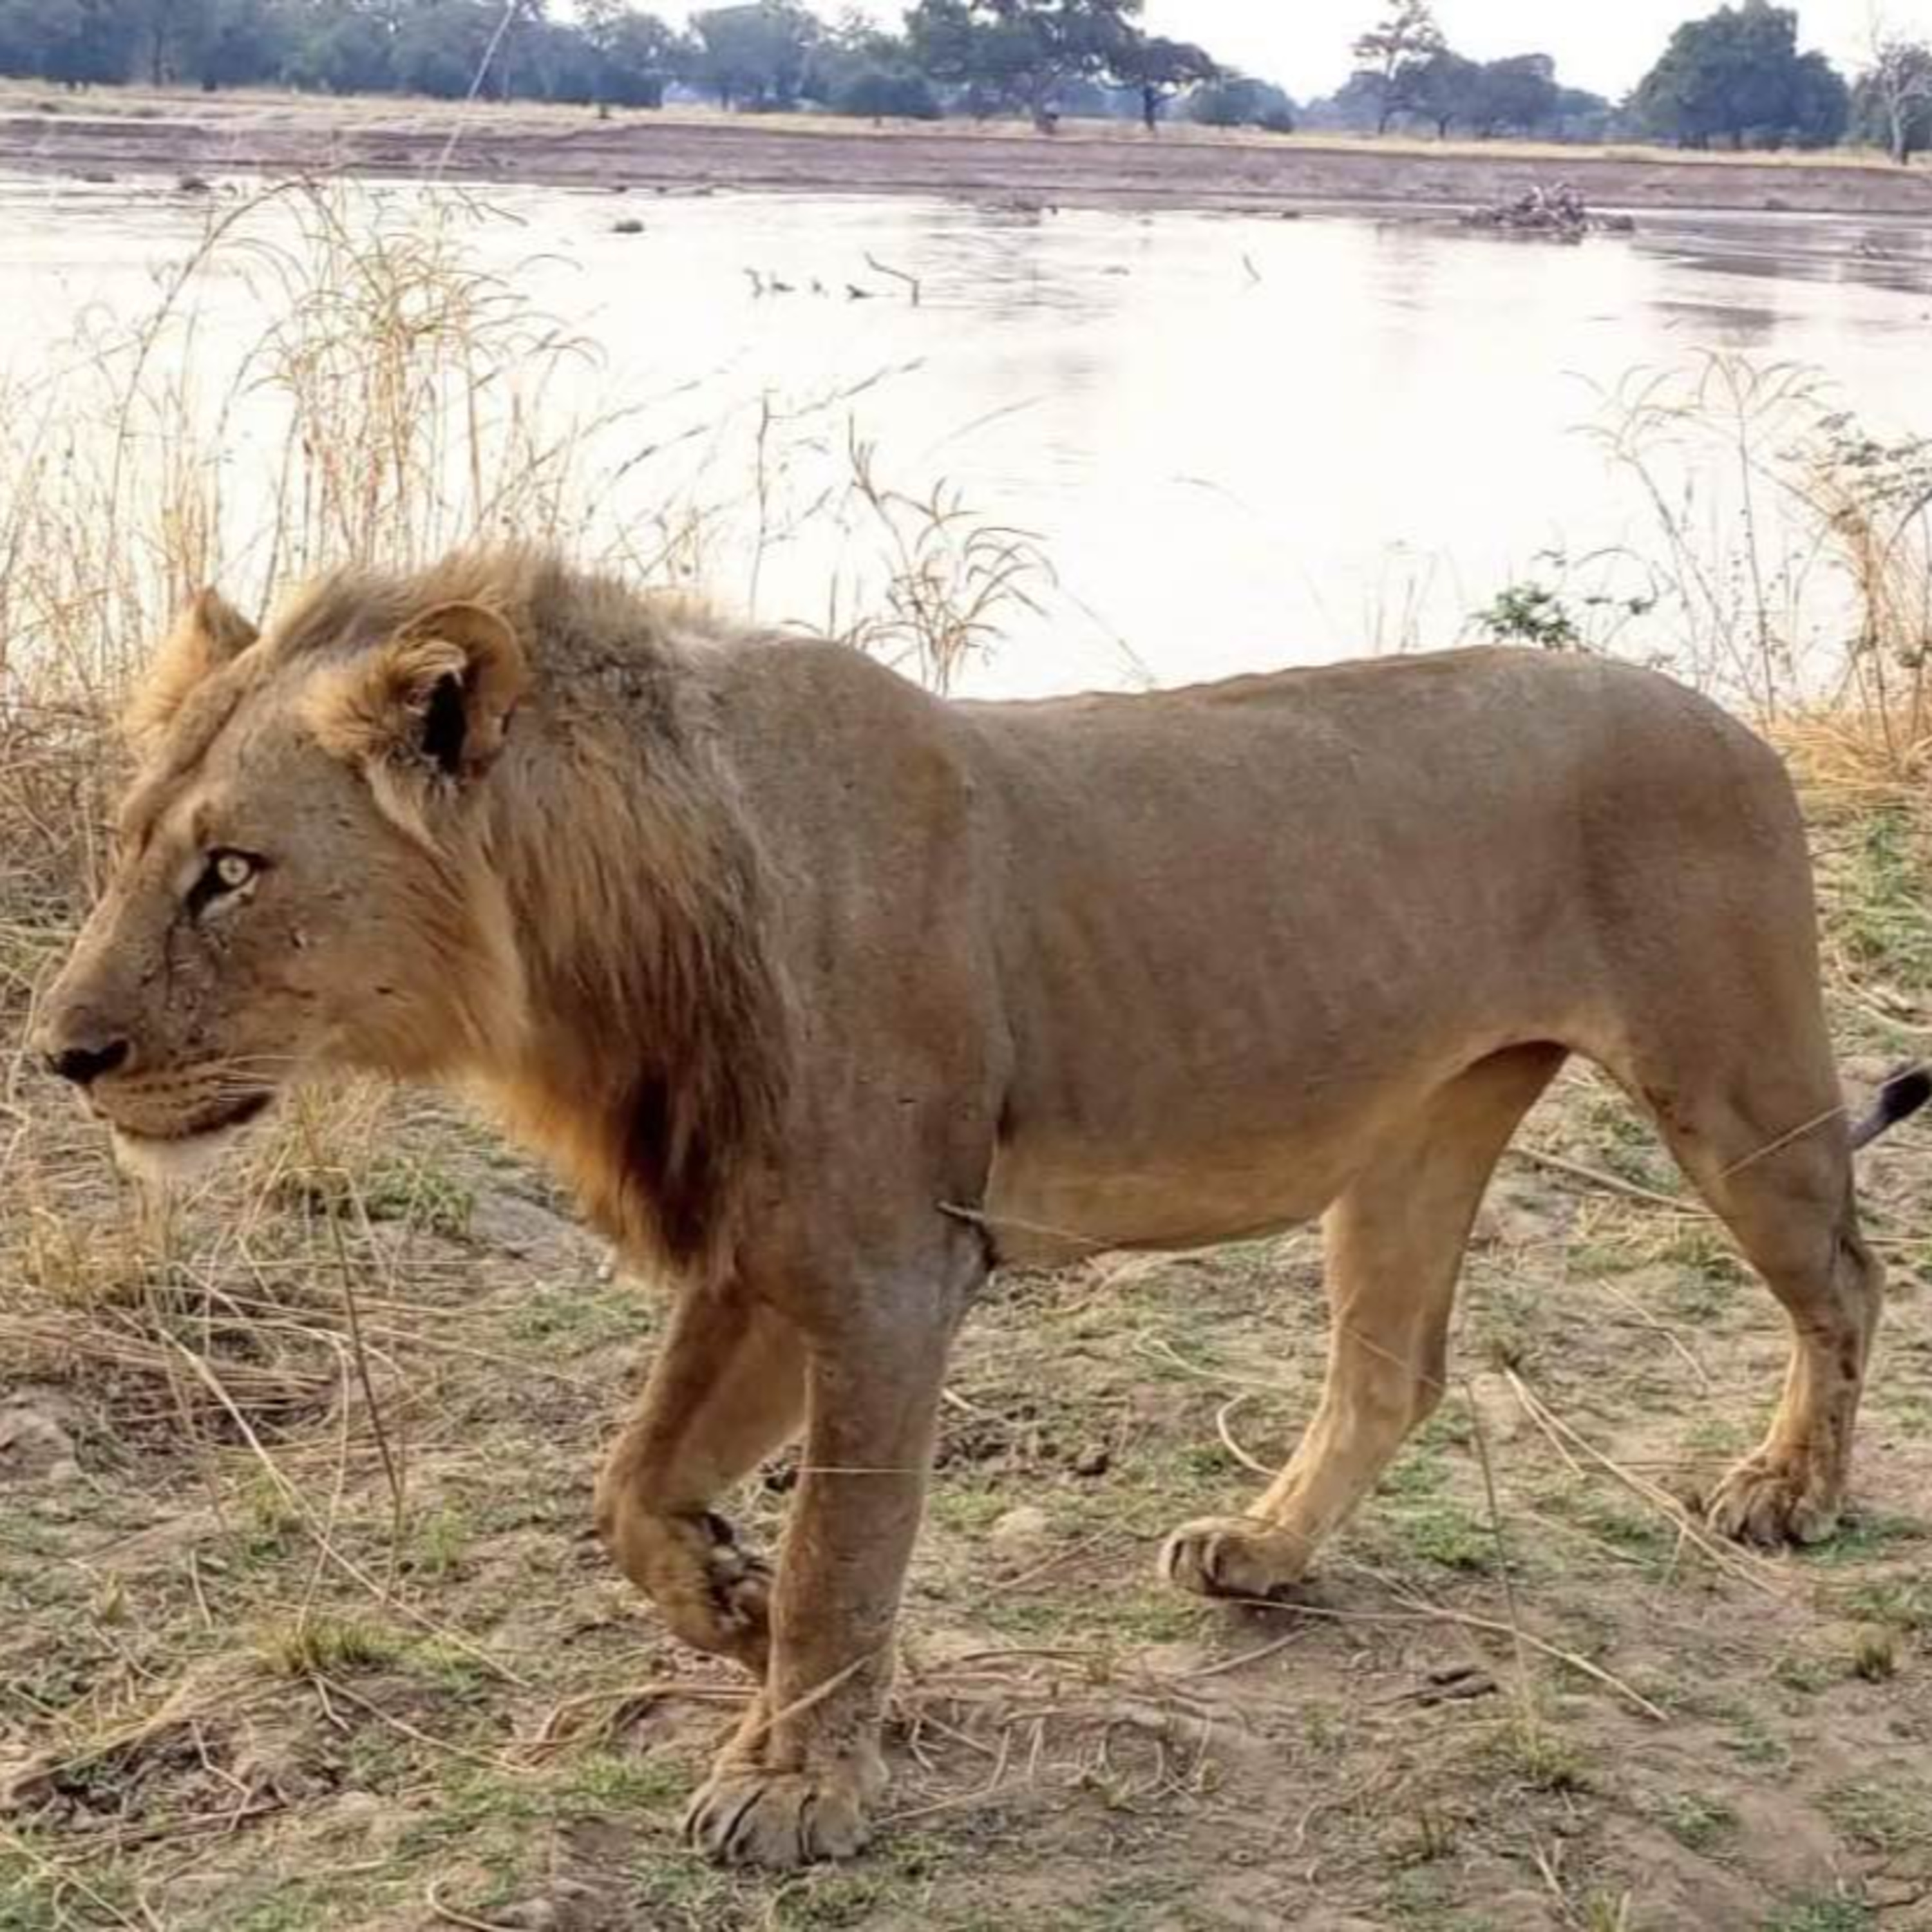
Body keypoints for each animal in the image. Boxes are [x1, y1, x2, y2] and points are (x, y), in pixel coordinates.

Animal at [37, 548, 1927, 1870]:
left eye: (231, 871)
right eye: (130, 848)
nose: (62, 1052)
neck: (598, 944)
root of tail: (1732, 719)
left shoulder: (888, 1271)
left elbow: (842, 1548)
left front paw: (792, 1778)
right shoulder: (760, 1252)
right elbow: (628, 1485)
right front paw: (722, 1610)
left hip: (1732, 1088)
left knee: (1843, 1274)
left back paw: (1787, 1491)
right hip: (1418, 1133)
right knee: (1392, 1365)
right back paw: (1261, 1552)